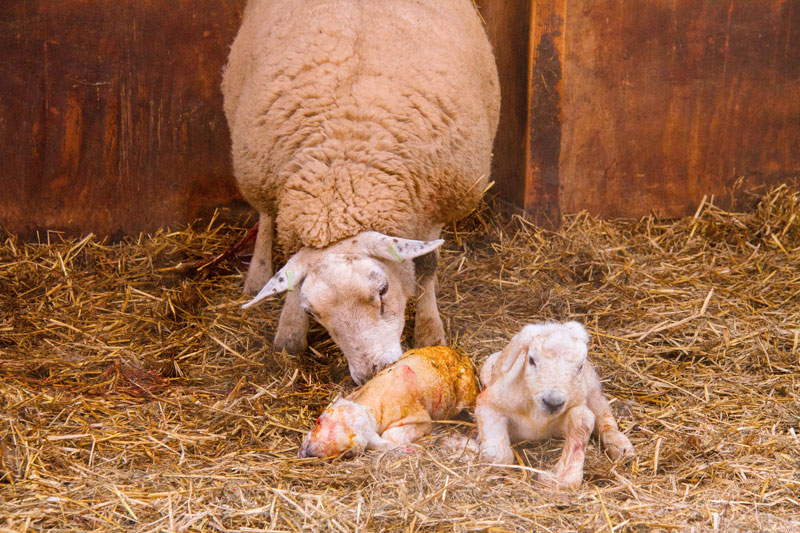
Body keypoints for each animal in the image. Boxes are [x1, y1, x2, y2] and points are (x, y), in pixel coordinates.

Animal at [222, 0, 500, 382]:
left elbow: (426, 266)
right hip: (255, 166)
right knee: (266, 216)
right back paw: (257, 274)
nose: (372, 371)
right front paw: (289, 333)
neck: (344, 179)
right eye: (314, 312)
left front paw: (430, 331)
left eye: (382, 290)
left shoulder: (437, 199)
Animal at [298, 344, 476, 458]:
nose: (307, 453)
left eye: (348, 453)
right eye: (318, 421)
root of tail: (464, 358)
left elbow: (391, 437)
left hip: (468, 393)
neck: (371, 408)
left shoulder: (419, 419)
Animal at [478, 322, 636, 488]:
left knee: (605, 419)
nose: (552, 402)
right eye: (531, 360)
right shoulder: (489, 401)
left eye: (580, 366)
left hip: (593, 389)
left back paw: (622, 449)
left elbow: (583, 419)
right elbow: (499, 457)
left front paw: (559, 478)